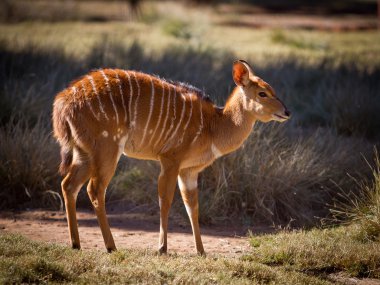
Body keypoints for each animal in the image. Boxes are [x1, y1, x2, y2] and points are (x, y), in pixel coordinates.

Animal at [52, 59, 290, 253]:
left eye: (273, 90)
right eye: (262, 93)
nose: (287, 112)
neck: (213, 125)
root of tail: (63, 101)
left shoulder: (189, 171)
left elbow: (192, 206)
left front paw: (201, 251)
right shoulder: (170, 161)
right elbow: (165, 201)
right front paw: (162, 248)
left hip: (84, 153)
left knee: (68, 185)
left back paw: (76, 244)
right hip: (107, 149)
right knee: (95, 190)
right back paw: (111, 246)